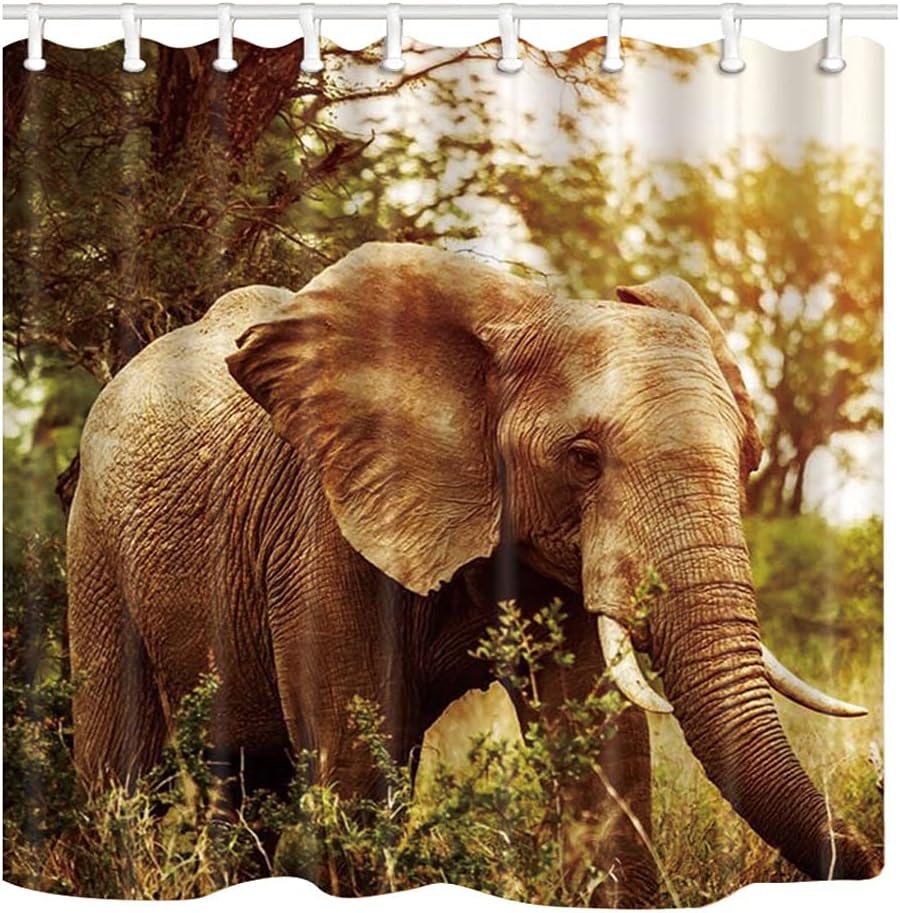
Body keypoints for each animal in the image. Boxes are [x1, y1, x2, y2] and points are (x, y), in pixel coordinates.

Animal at [67, 242, 878, 905]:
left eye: (747, 456)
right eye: (583, 458)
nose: (866, 855)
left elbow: (602, 752)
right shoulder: (321, 528)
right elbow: (355, 763)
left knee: (242, 778)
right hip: (95, 544)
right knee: (123, 769)